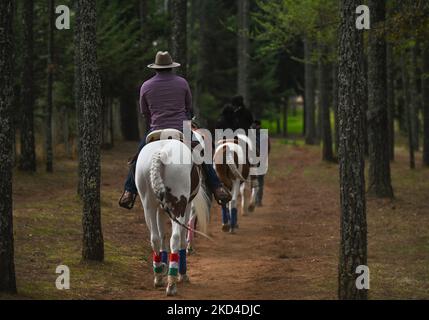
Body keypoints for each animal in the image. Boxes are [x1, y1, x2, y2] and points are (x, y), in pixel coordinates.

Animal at [135, 129, 210, 296]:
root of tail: (160, 153)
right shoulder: (187, 206)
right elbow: (181, 238)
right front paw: (182, 274)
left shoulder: (161, 209)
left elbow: (162, 235)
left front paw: (163, 266)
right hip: (179, 205)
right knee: (175, 239)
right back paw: (172, 283)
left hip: (148, 205)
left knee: (155, 238)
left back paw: (158, 276)